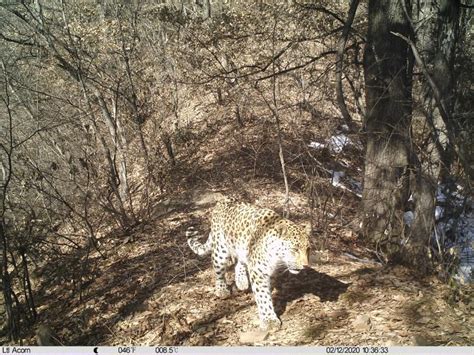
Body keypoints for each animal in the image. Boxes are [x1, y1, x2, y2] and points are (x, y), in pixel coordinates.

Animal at [187, 200, 312, 330]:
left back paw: (241, 281)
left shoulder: (271, 272)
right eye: (294, 249)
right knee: (219, 272)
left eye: (308, 249)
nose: (305, 266)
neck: (277, 258)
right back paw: (221, 290)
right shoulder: (259, 272)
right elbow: (263, 296)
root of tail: (222, 201)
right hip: (220, 251)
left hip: (241, 248)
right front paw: (269, 319)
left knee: (239, 263)